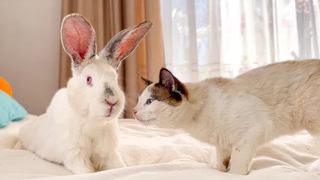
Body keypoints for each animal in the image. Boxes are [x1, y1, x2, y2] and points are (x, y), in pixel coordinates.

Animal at [18, 13, 154, 174]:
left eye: (115, 78)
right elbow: (86, 171)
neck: (94, 121)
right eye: (89, 79)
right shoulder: (75, 153)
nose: (112, 101)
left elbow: (118, 166)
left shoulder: (108, 152)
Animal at [132, 59, 320, 175]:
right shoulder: (222, 145)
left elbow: (237, 169)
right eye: (139, 101)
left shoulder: (247, 138)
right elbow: (220, 166)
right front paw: (219, 170)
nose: (133, 111)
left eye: (149, 102)